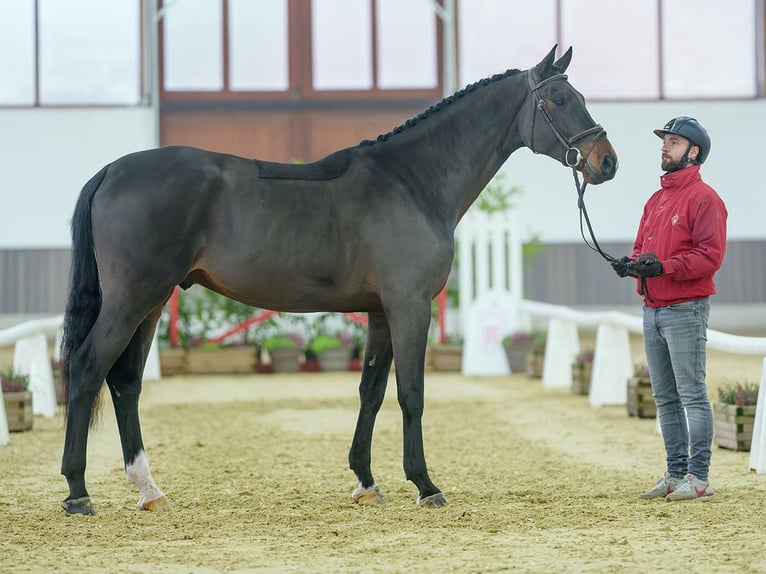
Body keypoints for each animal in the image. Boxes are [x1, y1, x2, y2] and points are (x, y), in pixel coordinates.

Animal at [63, 47, 620, 516]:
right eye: (559, 99)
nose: (607, 161)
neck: (411, 181)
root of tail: (111, 171)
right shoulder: (409, 306)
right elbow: (411, 393)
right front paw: (425, 485)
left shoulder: (378, 312)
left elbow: (370, 391)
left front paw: (366, 483)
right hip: (134, 298)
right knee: (88, 367)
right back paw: (77, 492)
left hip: (152, 302)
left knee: (125, 382)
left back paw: (148, 490)